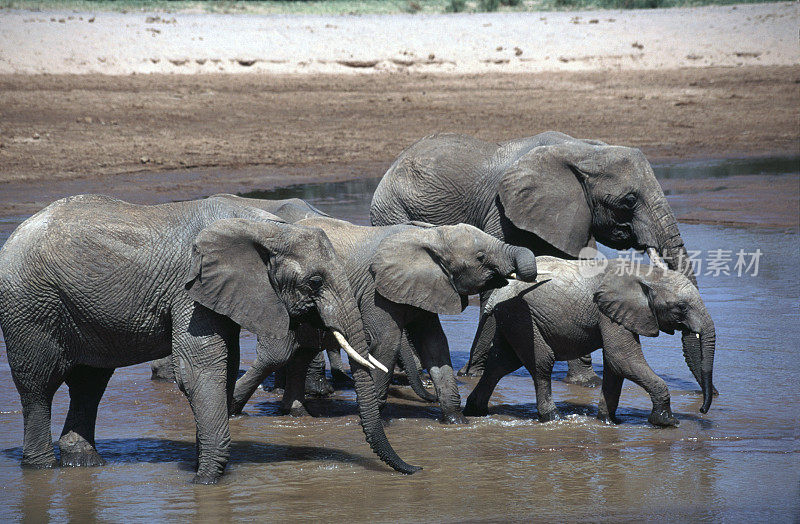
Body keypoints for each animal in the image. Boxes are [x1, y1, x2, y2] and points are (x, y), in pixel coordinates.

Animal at [0, 192, 422, 484]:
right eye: (315, 283)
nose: (417, 469)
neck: (264, 226)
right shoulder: (190, 287)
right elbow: (201, 370)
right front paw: (205, 480)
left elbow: (227, 364)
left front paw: (205, 467)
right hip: (29, 304)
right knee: (38, 384)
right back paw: (41, 469)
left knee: (90, 382)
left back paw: (85, 464)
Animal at [231, 215, 536, 424]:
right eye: (480, 257)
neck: (431, 237)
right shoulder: (375, 291)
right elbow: (386, 342)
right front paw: (374, 417)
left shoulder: (427, 286)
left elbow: (435, 344)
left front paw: (456, 421)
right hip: (271, 301)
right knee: (277, 355)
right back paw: (236, 410)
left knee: (300, 354)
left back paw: (296, 413)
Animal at [368, 130, 700, 388]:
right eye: (629, 201)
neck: (582, 151)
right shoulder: (501, 212)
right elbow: (497, 283)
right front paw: (474, 374)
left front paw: (585, 384)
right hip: (392, 211)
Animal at [460, 256, 716, 426]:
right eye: (681, 308)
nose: (702, 410)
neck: (645, 274)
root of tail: (498, 293)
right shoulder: (608, 312)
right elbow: (622, 358)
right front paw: (667, 422)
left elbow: (616, 365)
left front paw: (608, 422)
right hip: (521, 314)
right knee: (541, 363)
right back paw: (552, 418)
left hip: (511, 317)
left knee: (501, 363)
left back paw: (474, 411)